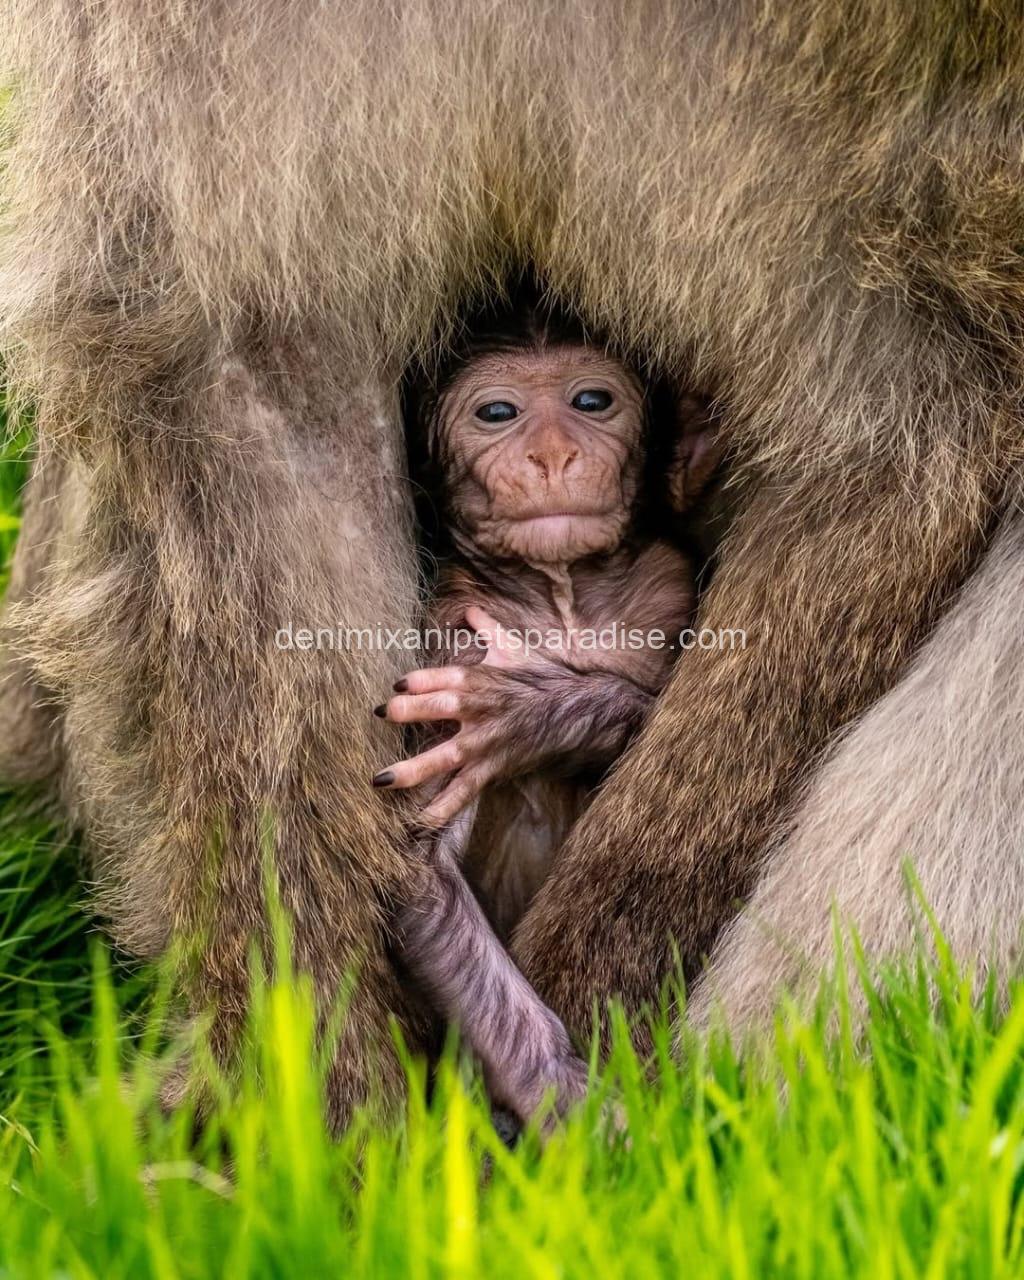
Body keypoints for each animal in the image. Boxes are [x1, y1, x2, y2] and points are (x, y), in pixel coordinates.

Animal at [372, 294, 713, 1121]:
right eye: (498, 413)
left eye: (592, 401)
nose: (554, 456)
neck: (559, 595)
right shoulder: (450, 629)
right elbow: (421, 873)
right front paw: (571, 1106)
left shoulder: (664, 586)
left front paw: (530, 712)